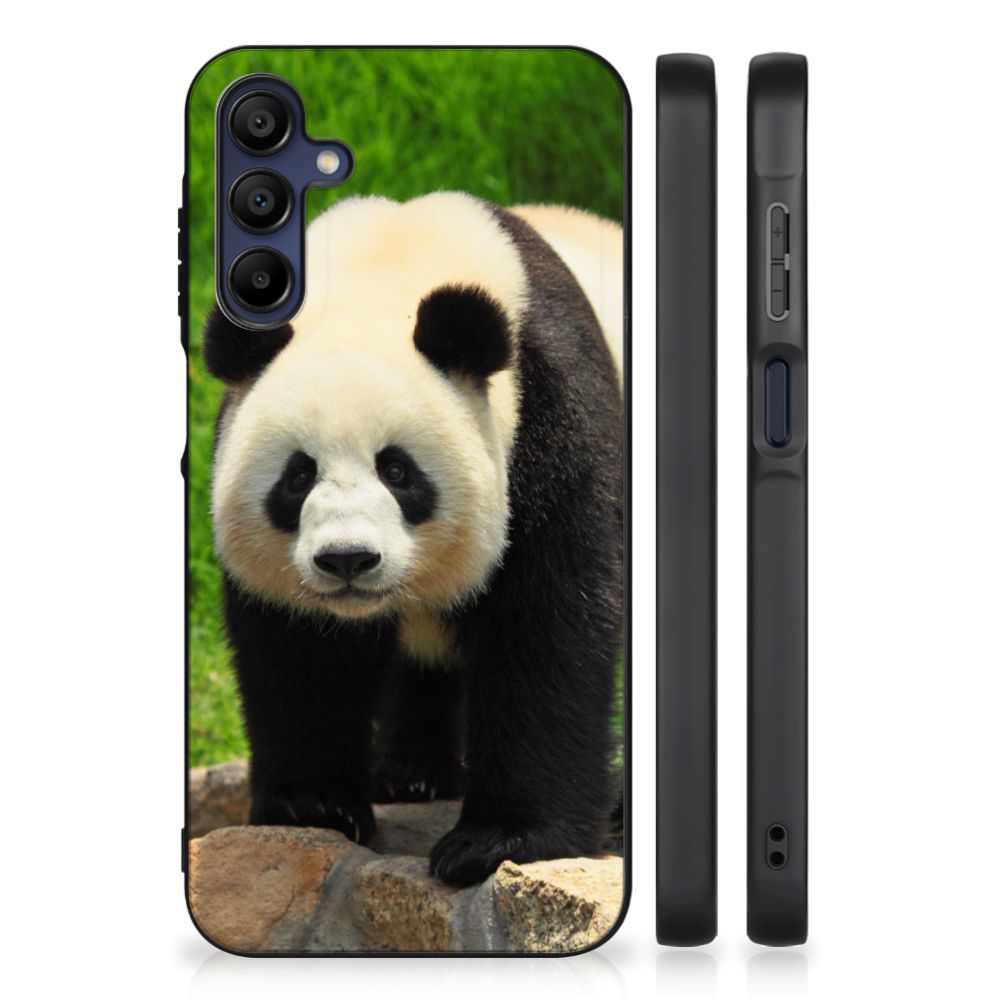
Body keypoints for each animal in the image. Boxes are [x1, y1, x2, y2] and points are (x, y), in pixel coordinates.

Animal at [204, 191, 624, 886]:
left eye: (397, 471)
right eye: (298, 476)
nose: (347, 559)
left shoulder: (550, 418)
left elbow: (548, 626)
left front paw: (499, 840)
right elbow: (300, 651)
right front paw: (313, 806)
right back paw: (411, 775)